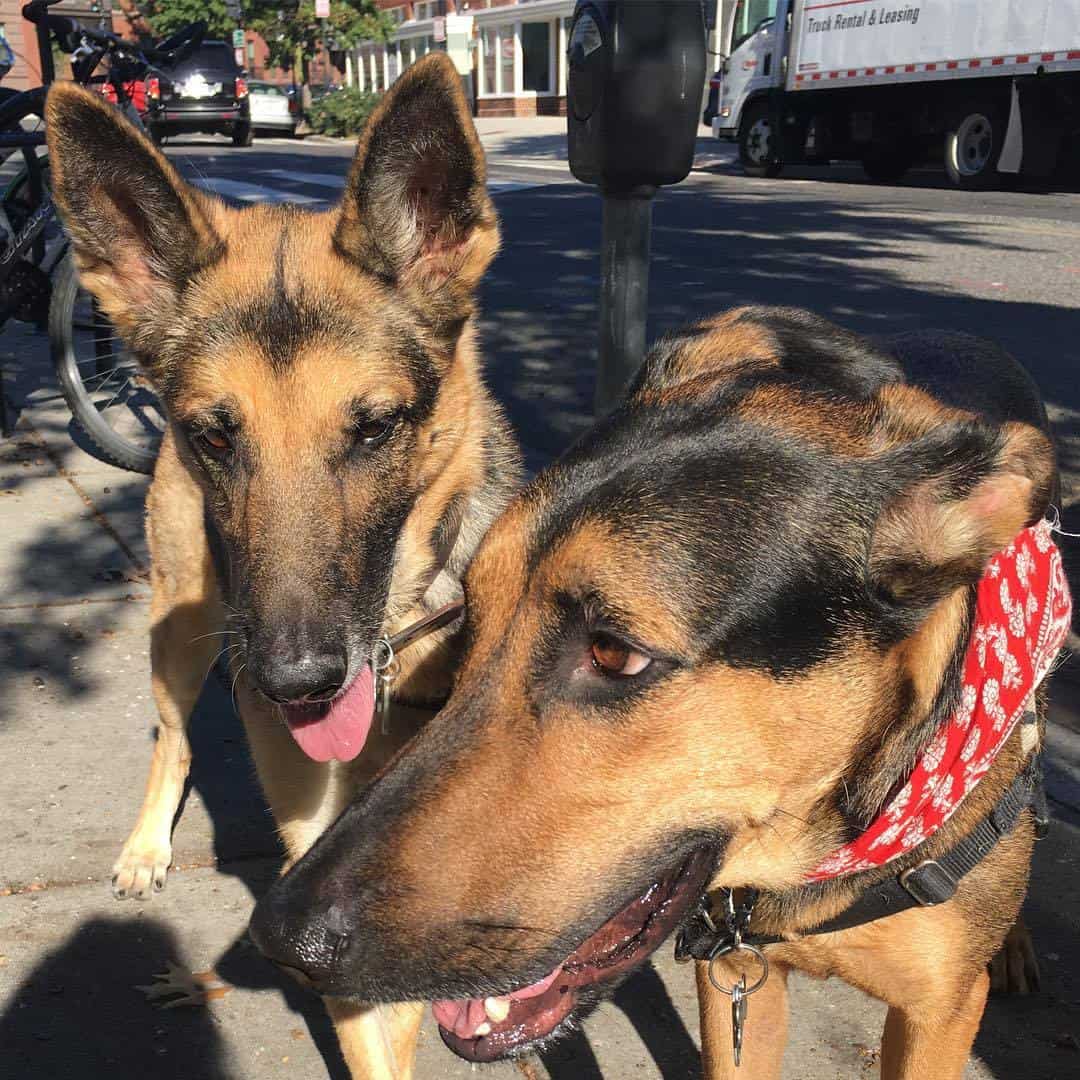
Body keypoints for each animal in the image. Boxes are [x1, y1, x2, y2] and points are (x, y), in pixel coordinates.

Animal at [48, 54, 520, 1075]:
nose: (293, 684)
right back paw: (147, 845)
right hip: (180, 635)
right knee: (173, 736)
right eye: (214, 436)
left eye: (375, 428)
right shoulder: (320, 880)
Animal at [247, 306, 1062, 1080]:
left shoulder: (938, 1016)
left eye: (614, 653)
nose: (280, 940)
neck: (821, 854)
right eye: (471, 616)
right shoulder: (735, 981)